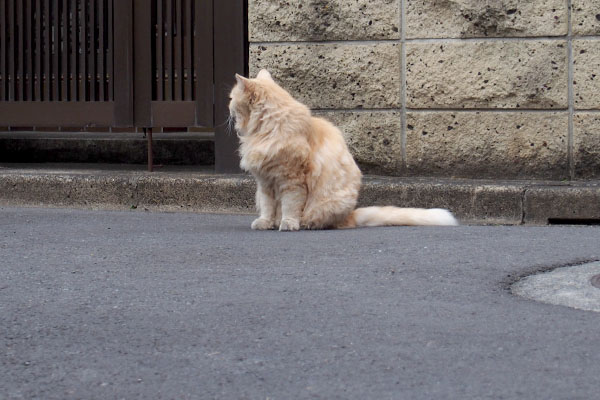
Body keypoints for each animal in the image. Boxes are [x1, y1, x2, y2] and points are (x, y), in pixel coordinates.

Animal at [230, 70, 460, 230]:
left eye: (231, 99)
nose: (228, 109)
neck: (266, 130)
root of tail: (350, 214)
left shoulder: (291, 180)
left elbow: (290, 206)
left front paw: (288, 223)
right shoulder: (265, 183)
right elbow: (268, 208)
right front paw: (266, 223)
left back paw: (307, 224)